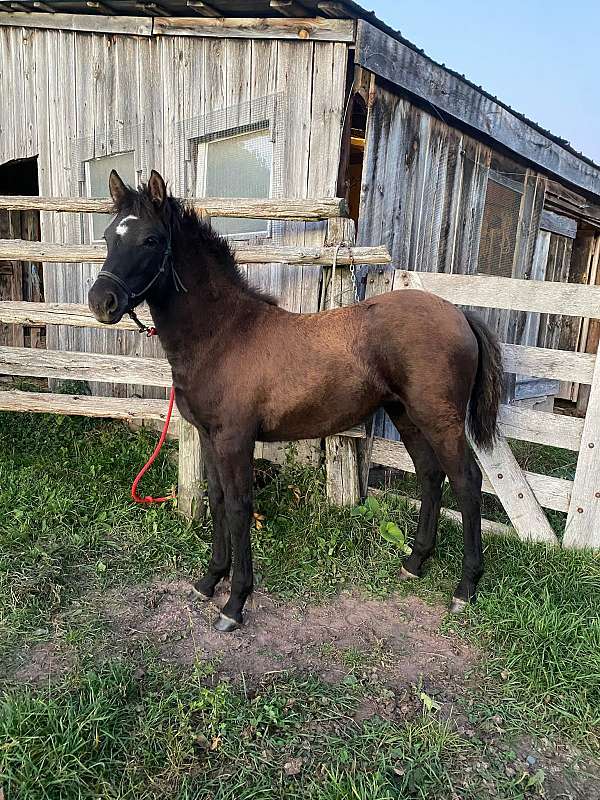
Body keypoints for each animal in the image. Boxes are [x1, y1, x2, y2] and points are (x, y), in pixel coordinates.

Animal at [88, 169, 503, 633]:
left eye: (151, 240)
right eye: (108, 236)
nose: (101, 302)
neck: (223, 334)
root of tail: (458, 313)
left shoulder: (234, 440)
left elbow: (239, 507)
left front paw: (235, 603)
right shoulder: (210, 437)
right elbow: (217, 500)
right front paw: (209, 581)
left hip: (440, 418)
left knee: (466, 481)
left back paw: (465, 588)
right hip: (406, 415)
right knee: (431, 475)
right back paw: (415, 563)